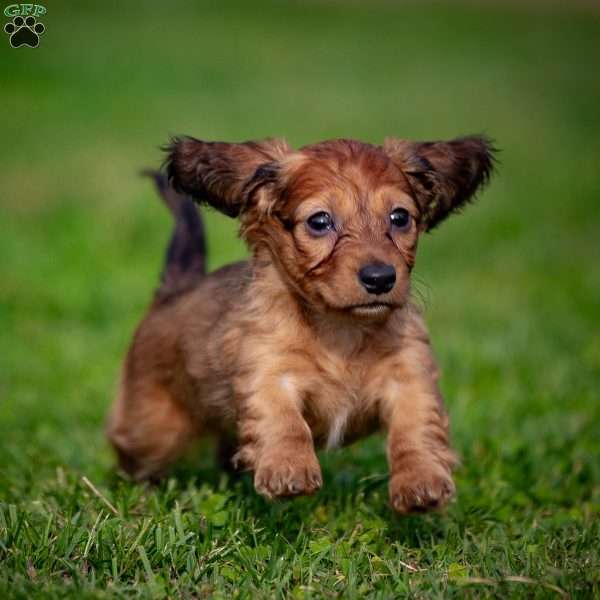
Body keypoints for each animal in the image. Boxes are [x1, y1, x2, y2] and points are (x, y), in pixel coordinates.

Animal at [106, 136, 492, 516]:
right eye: (319, 222)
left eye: (400, 218)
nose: (380, 278)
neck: (342, 329)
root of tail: (176, 288)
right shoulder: (267, 371)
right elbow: (283, 419)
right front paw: (287, 466)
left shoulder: (409, 375)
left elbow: (415, 426)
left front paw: (420, 480)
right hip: (155, 428)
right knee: (135, 456)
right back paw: (136, 495)